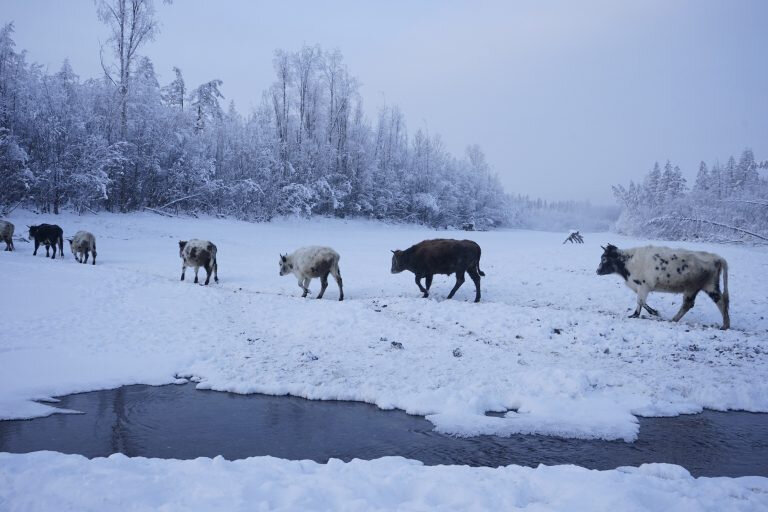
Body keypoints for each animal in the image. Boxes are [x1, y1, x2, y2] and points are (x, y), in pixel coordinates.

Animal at [596, 245, 728, 332]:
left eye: (604, 259)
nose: (597, 271)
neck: (628, 263)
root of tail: (716, 258)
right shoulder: (641, 287)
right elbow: (642, 302)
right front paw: (654, 312)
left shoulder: (643, 286)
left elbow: (640, 301)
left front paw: (635, 315)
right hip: (707, 286)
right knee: (719, 301)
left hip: (695, 287)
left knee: (695, 303)